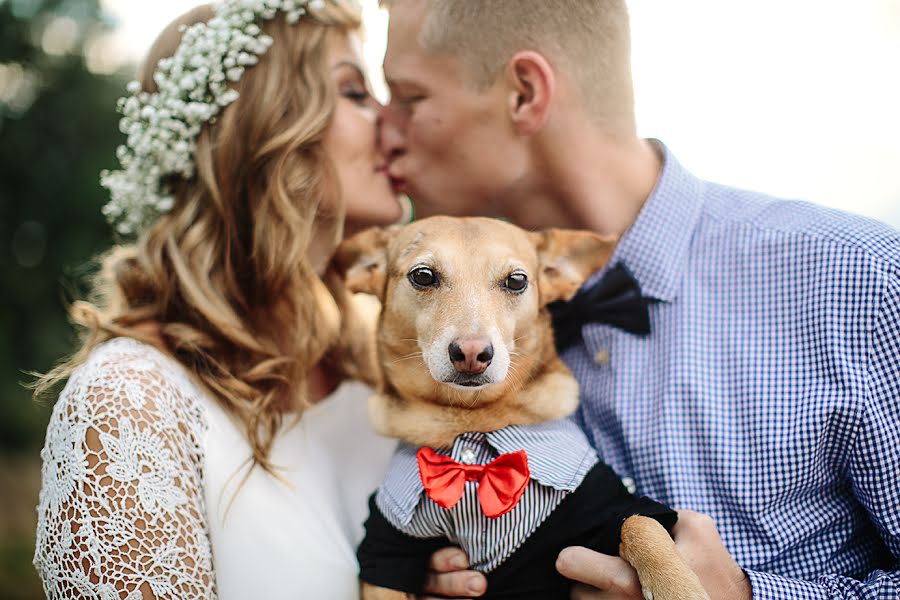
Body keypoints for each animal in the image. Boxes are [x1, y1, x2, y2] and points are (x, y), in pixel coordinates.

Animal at [334, 217, 708, 600]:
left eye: (516, 281)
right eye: (423, 276)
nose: (472, 352)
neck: (472, 422)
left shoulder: (601, 505)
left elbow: (640, 523)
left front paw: (678, 586)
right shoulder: (387, 543)